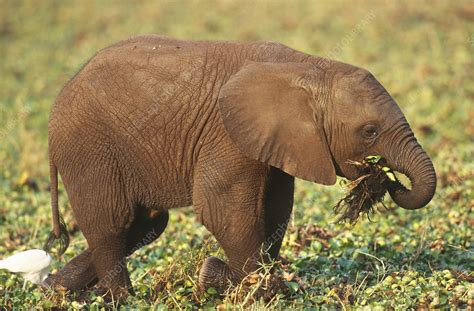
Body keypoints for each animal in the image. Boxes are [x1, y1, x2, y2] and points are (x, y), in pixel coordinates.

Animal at [42, 35, 436, 298]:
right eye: (369, 131)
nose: (386, 177)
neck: (310, 68)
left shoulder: (275, 140)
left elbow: (276, 209)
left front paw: (240, 278)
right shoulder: (227, 132)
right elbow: (221, 207)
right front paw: (246, 283)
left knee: (146, 224)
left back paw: (56, 290)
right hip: (88, 145)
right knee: (113, 221)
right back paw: (120, 299)